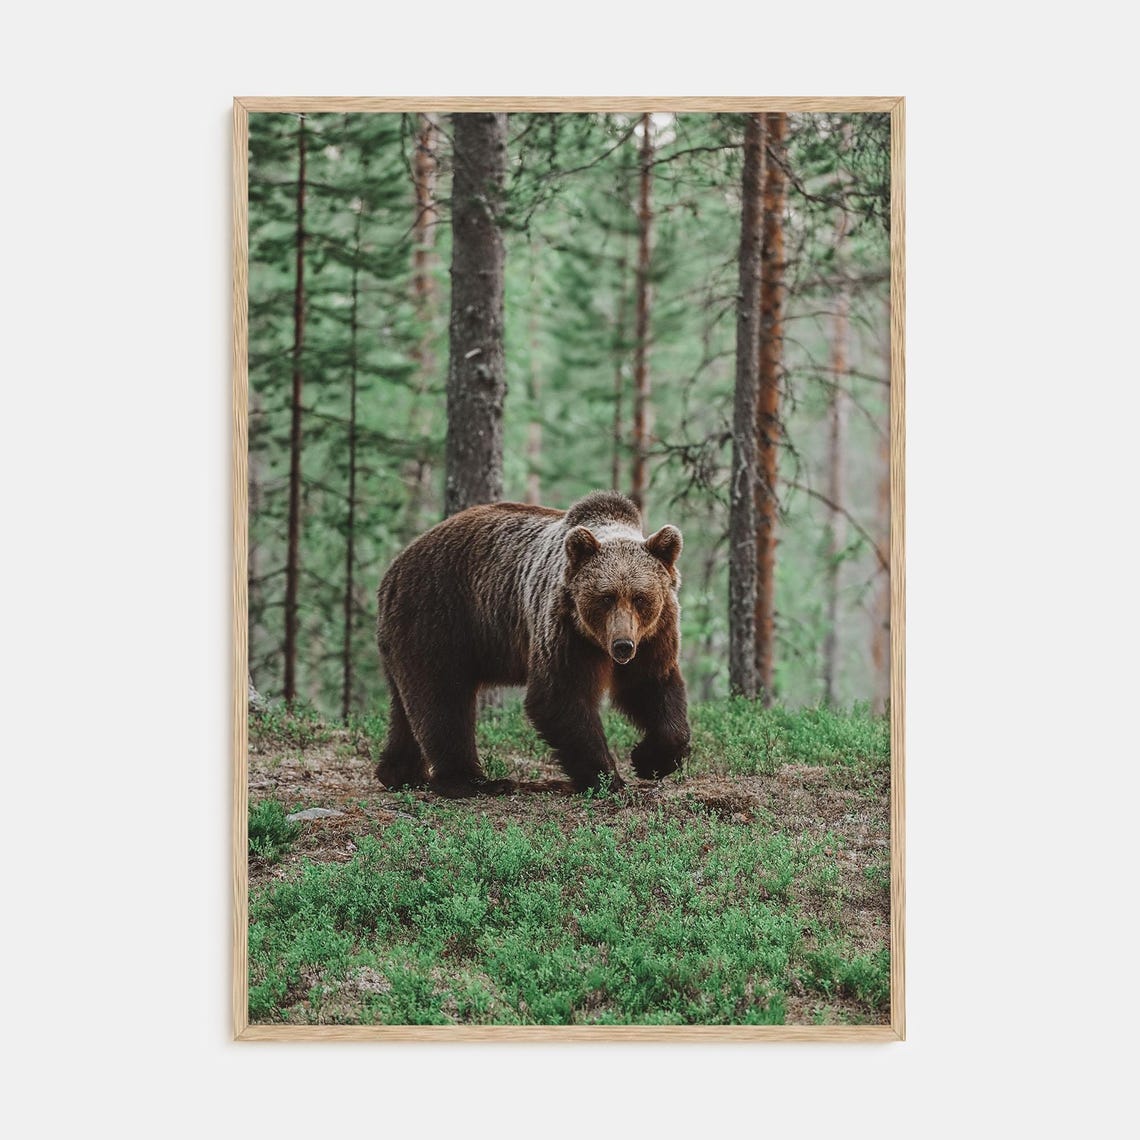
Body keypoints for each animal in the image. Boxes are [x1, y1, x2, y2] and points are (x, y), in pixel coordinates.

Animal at [375, 490, 691, 798]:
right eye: (606, 597)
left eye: (640, 597)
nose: (622, 645)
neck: (596, 641)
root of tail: (394, 568)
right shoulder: (564, 629)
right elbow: (559, 695)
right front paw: (607, 779)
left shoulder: (653, 635)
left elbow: (650, 685)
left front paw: (649, 760)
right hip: (439, 618)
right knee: (443, 699)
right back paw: (471, 781)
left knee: (406, 706)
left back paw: (400, 774)